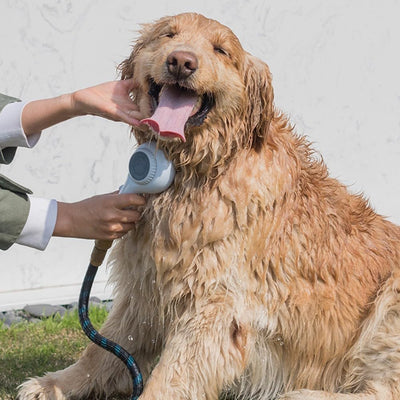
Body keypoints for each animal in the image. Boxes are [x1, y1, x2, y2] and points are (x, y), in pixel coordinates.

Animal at [19, 12, 400, 400]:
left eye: (220, 50)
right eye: (168, 35)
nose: (181, 62)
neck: (196, 169)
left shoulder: (215, 303)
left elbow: (169, 374)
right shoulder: (145, 285)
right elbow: (103, 350)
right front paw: (56, 384)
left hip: (390, 302)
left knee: (382, 389)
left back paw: (300, 394)